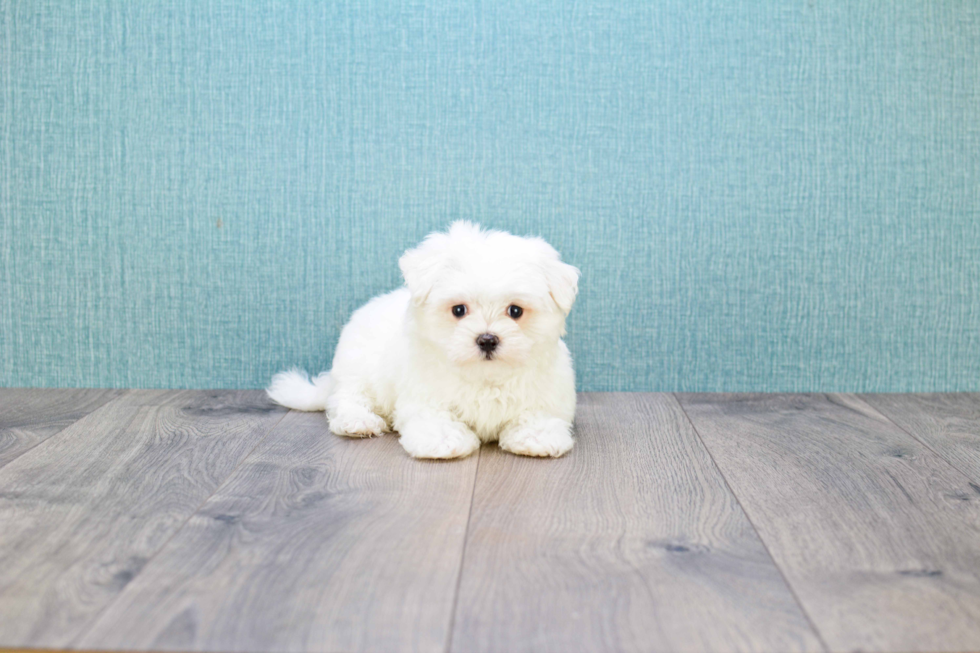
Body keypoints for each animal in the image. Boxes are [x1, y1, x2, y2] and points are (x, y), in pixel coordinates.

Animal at [264, 222, 580, 460]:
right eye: (458, 310)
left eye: (515, 311)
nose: (487, 339)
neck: (484, 379)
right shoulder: (425, 396)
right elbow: (434, 419)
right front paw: (443, 441)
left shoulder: (546, 394)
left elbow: (536, 416)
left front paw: (537, 438)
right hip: (357, 371)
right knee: (347, 399)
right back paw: (358, 422)